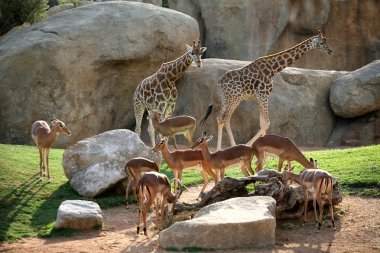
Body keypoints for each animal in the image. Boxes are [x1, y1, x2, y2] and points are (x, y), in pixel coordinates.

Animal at [200, 31, 332, 150]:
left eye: (326, 40)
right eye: (322, 42)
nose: (330, 51)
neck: (273, 69)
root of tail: (218, 83)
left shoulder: (259, 97)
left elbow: (262, 123)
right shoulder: (263, 95)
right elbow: (266, 123)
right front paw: (249, 145)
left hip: (226, 100)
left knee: (219, 118)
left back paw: (219, 149)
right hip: (235, 99)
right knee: (225, 118)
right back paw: (232, 146)